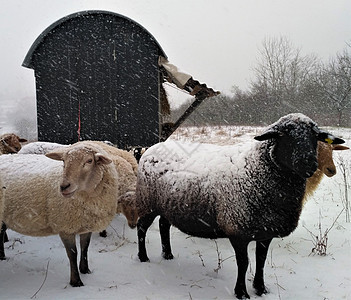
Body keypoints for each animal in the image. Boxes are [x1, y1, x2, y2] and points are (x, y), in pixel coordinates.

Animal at [0, 144, 119, 288]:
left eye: (89, 161)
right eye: (63, 161)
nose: (63, 187)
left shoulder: (86, 226)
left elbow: (85, 248)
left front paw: (85, 270)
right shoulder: (65, 227)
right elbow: (73, 254)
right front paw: (76, 282)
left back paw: (2, 257)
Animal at [136, 113, 346, 298]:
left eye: (315, 137)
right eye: (284, 135)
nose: (309, 164)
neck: (256, 170)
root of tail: (153, 148)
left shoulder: (265, 232)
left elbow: (261, 261)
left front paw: (261, 289)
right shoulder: (237, 230)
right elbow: (243, 263)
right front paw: (242, 293)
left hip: (167, 205)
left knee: (163, 225)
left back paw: (168, 255)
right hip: (147, 202)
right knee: (141, 227)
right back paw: (143, 257)